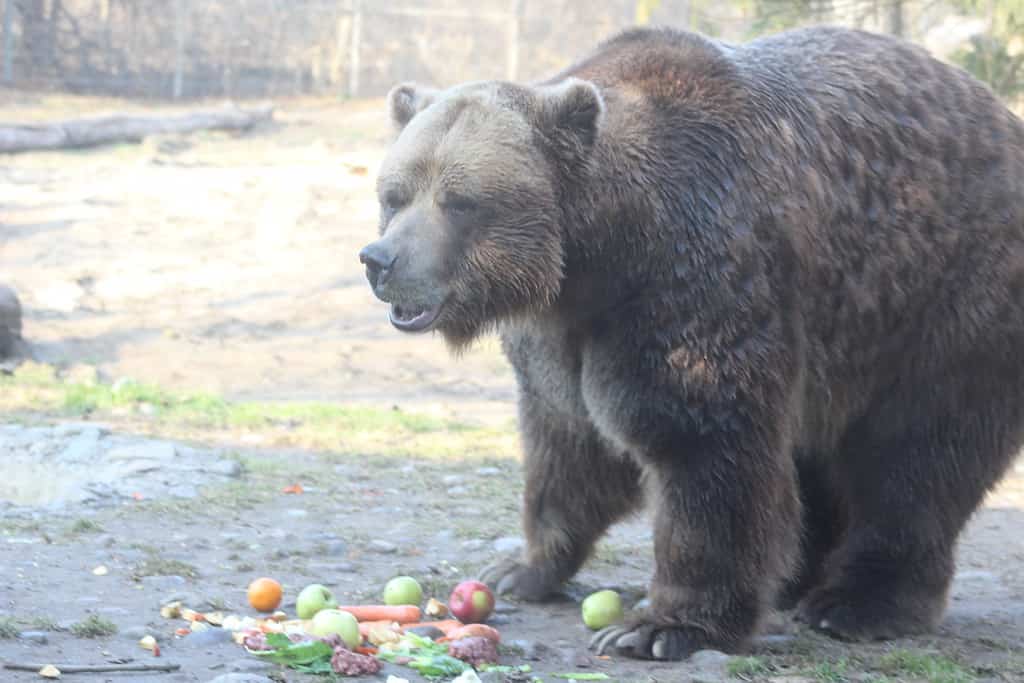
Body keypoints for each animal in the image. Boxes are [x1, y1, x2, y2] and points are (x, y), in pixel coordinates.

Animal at [358, 26, 1024, 663]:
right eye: (394, 194)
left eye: (459, 200)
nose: (380, 260)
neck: (594, 258)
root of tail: (999, 115)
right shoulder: (561, 335)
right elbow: (566, 441)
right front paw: (522, 567)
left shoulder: (692, 282)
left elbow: (702, 446)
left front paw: (660, 627)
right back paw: (794, 580)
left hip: (942, 300)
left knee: (917, 457)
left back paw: (858, 602)